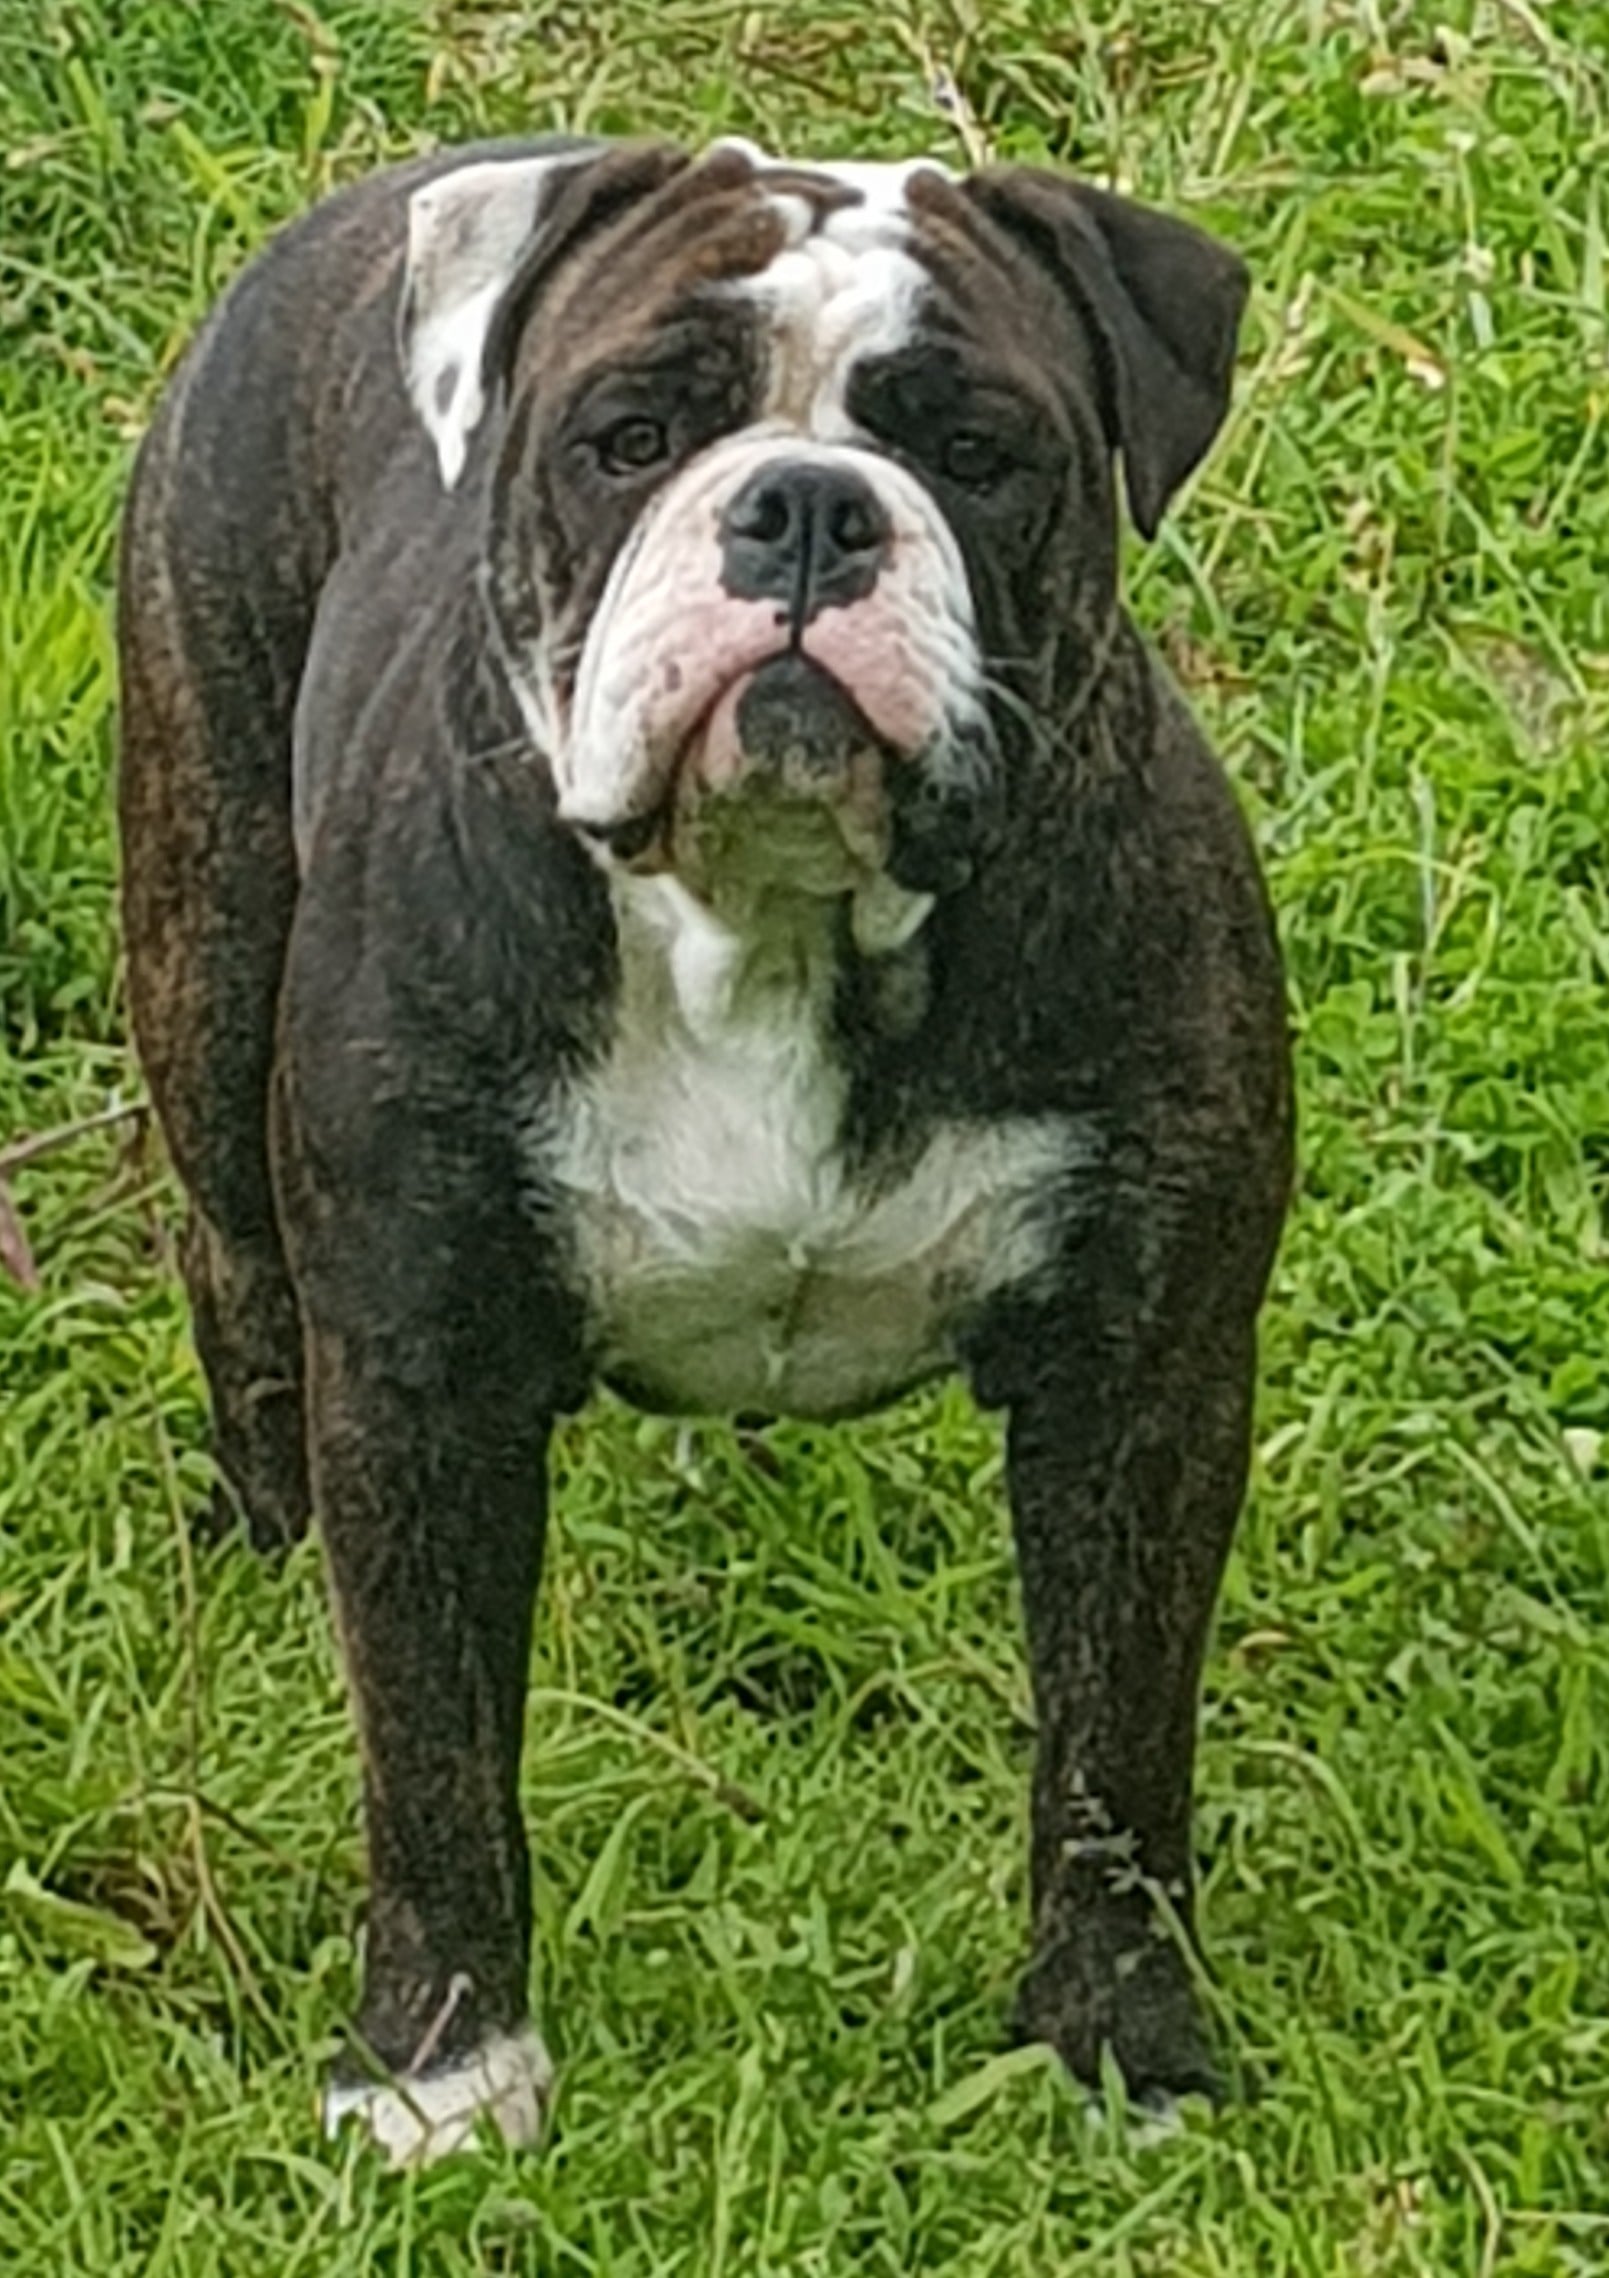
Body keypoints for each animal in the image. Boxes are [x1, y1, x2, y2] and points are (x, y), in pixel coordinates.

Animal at [117, 135, 1292, 2166]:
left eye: (974, 447)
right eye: (632, 436)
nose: (807, 508)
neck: (775, 917)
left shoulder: (1143, 1378)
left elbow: (1113, 1754)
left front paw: (1117, 2053)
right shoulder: (420, 1380)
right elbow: (434, 1753)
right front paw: (441, 2072)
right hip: (207, 935)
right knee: (235, 1259)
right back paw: (265, 1546)